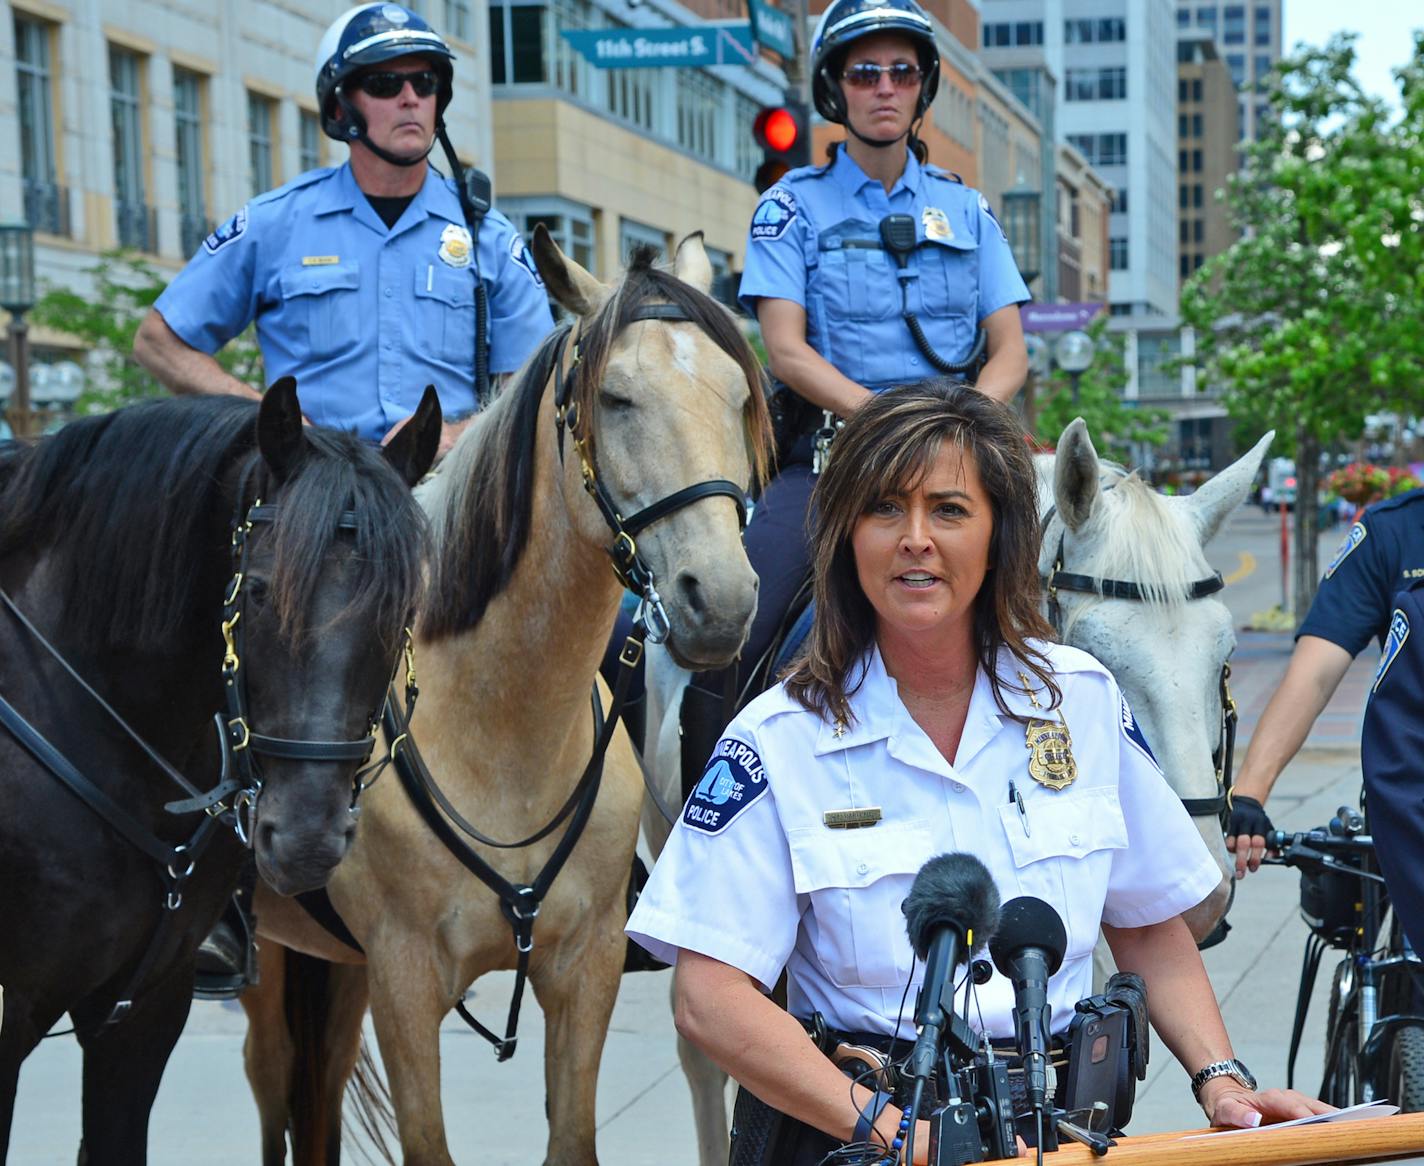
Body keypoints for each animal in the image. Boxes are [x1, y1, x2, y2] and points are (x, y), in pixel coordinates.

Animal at [234, 230, 774, 1166]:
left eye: (742, 395)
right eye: (616, 398)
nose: (722, 599)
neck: (503, 733)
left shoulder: (586, 967)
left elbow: (574, 1138)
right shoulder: (405, 980)